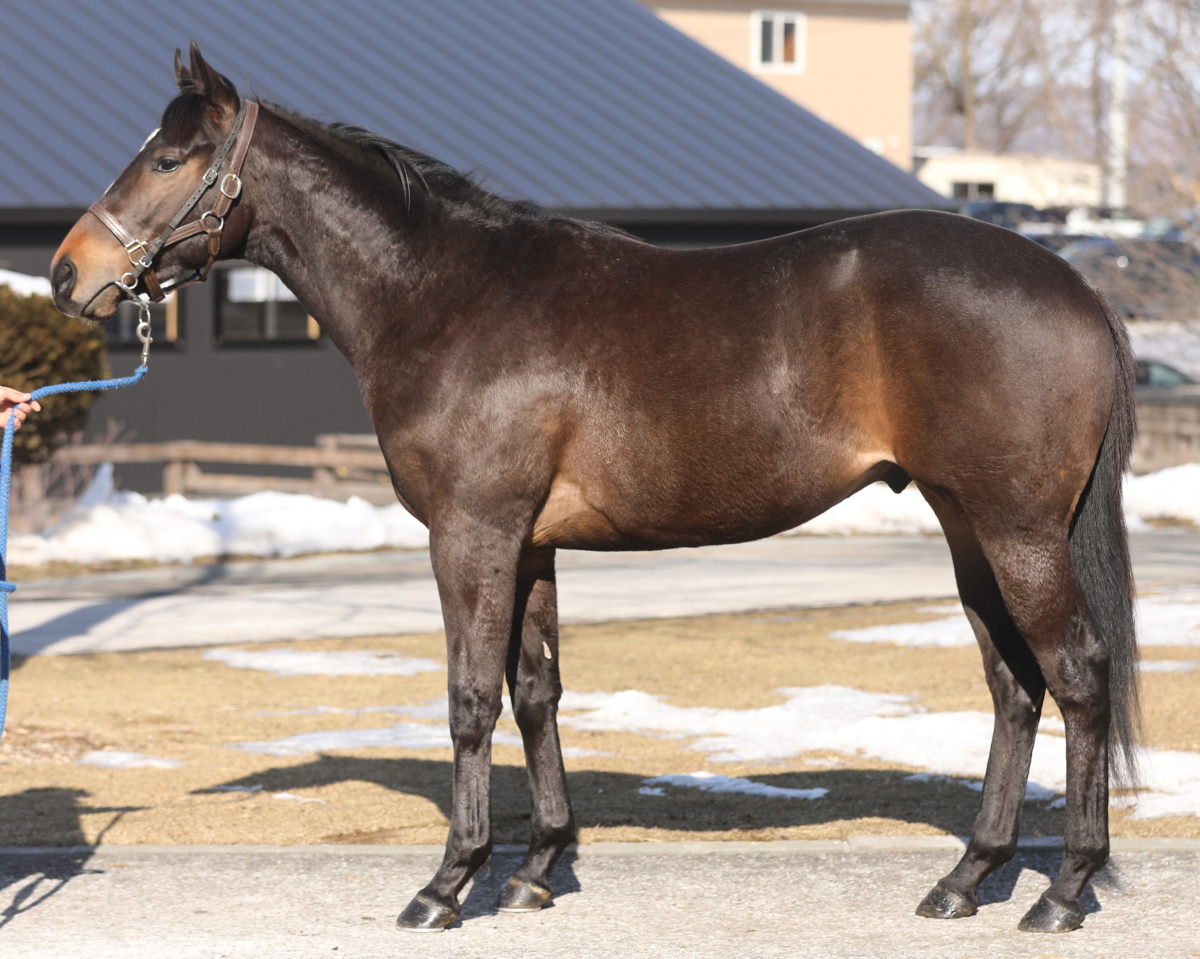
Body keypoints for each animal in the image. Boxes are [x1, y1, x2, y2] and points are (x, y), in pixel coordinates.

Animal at [50, 44, 1138, 935]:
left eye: (167, 159)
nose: (67, 274)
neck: (448, 296)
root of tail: (1078, 286)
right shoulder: (529, 541)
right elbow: (536, 692)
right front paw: (537, 869)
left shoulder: (471, 532)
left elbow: (469, 697)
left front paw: (449, 882)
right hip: (966, 525)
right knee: (1013, 685)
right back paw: (967, 877)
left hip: (1017, 529)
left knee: (1078, 672)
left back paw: (1062, 888)